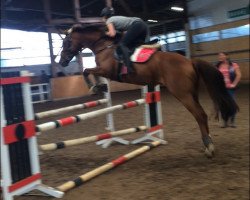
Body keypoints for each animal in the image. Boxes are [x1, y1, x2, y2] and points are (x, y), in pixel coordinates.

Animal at [58, 23, 238, 158]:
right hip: (191, 93)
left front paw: (94, 87)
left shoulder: (106, 70)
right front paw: (100, 87)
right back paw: (208, 144)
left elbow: (86, 71)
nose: (62, 62)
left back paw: (209, 147)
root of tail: (189, 61)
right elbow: (90, 72)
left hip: (182, 94)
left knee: (200, 115)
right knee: (201, 115)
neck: (104, 45)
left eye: (66, 43)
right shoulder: (104, 71)